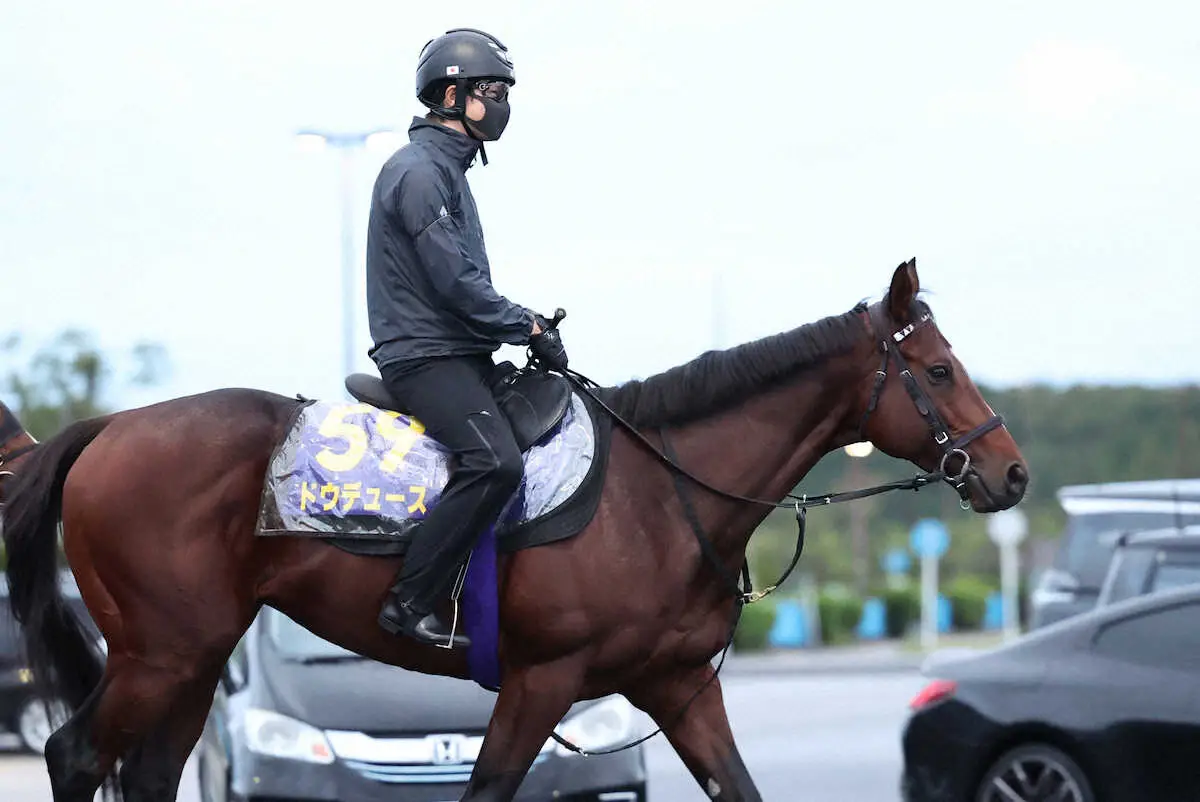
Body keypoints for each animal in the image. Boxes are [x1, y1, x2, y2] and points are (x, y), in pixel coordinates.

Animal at [2, 260, 1032, 797]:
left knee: (145, 770)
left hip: (192, 655)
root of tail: (108, 429)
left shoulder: (678, 689)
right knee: (74, 753)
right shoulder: (540, 683)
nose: (1011, 472)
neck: (659, 496)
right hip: (161, 654)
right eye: (938, 370)